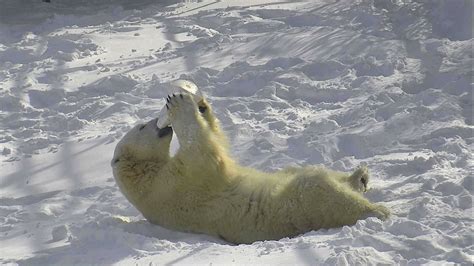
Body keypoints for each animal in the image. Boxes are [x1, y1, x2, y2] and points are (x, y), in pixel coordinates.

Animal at [111, 93, 388, 243]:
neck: (145, 179)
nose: (162, 124)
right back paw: (377, 210)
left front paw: (202, 106)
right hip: (294, 205)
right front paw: (179, 102)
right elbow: (200, 151)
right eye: (141, 127)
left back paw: (359, 176)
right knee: (320, 190)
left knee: (301, 172)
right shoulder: (173, 185)